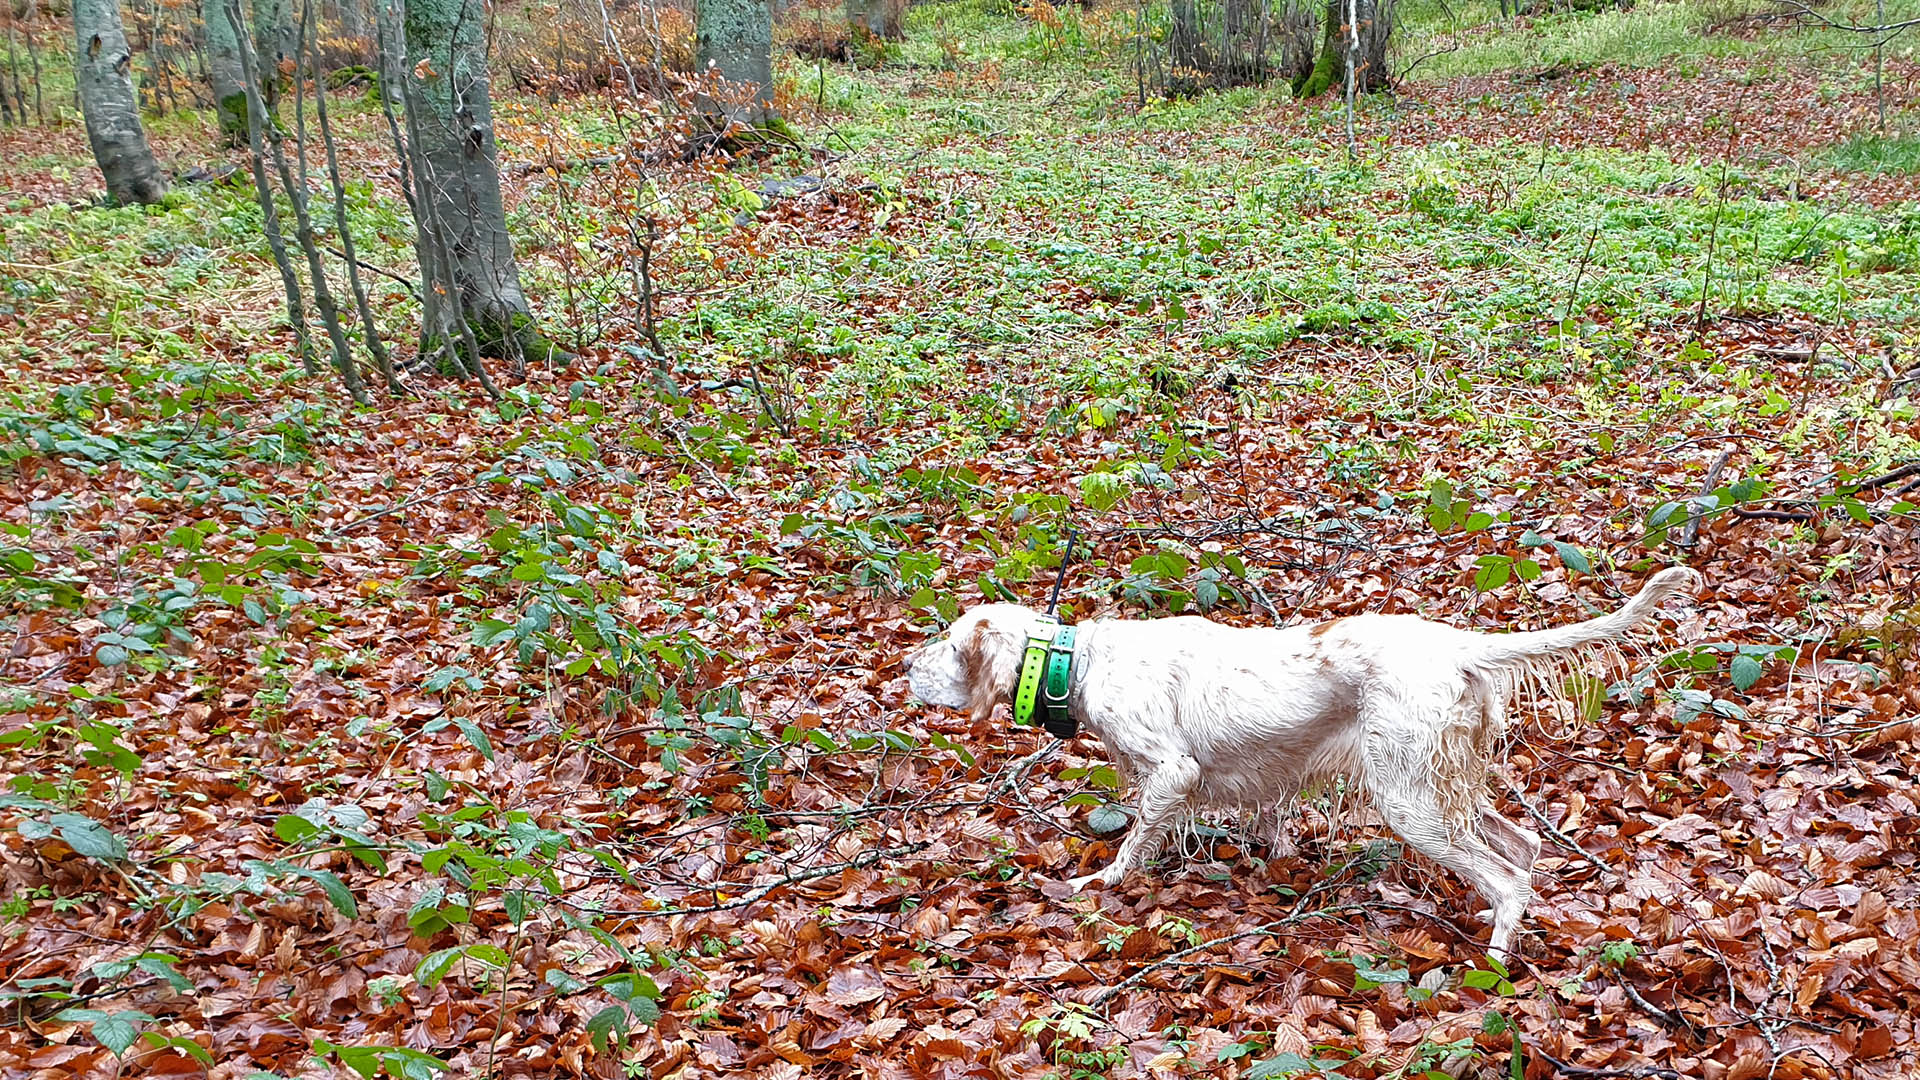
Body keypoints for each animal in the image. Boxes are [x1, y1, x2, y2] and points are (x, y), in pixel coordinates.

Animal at [906, 568, 1704, 953]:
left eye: (948, 643)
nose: (905, 667)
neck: (1078, 660)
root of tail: (1457, 644)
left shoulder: (1173, 772)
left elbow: (1134, 841)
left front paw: (1101, 882)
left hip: (1410, 801)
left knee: (1507, 877)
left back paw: (1496, 957)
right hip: (1442, 784)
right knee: (1526, 847)